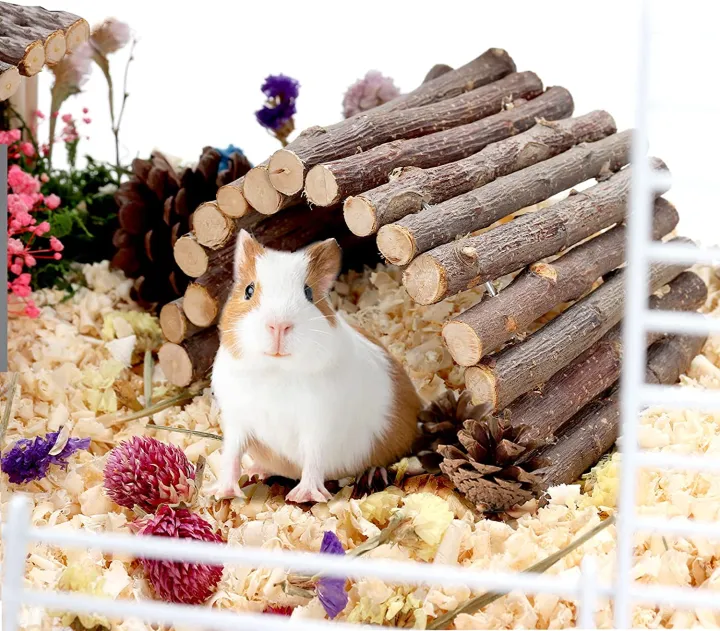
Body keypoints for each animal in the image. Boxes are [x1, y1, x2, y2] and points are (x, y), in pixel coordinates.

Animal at [209, 230, 422, 503]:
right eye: (248, 290)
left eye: (308, 292)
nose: (279, 326)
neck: (276, 371)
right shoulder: (237, 422)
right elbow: (231, 456)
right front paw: (221, 492)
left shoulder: (318, 425)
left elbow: (313, 460)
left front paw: (304, 496)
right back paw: (256, 471)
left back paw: (372, 474)